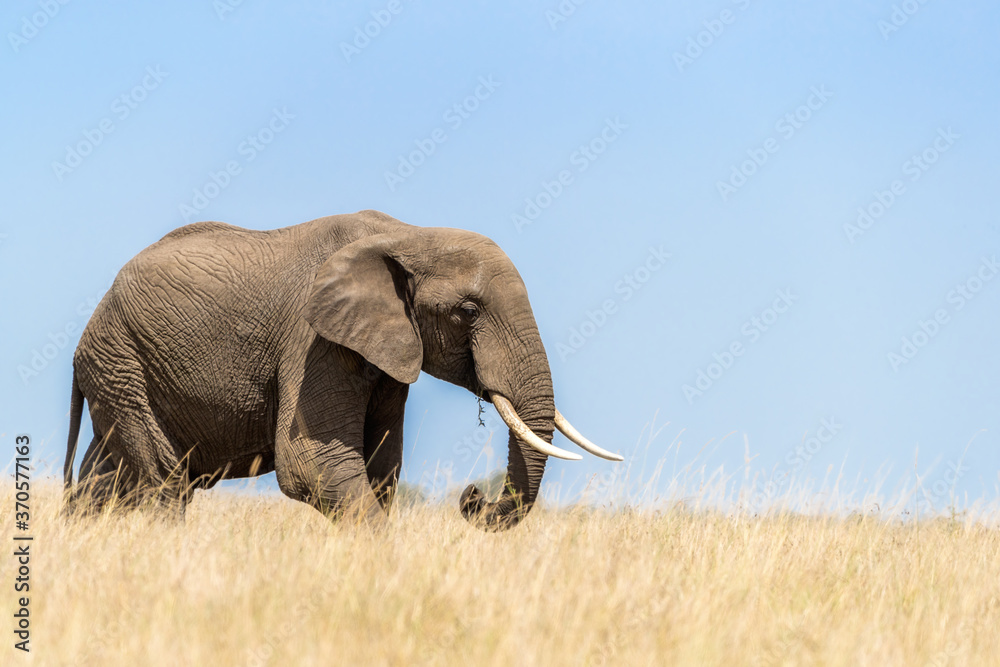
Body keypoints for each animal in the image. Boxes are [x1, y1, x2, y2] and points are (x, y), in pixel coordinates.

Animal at [63, 210, 621, 530]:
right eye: (468, 311)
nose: (471, 495)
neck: (407, 235)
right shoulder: (313, 341)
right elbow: (313, 463)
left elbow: (380, 468)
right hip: (121, 362)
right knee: (162, 480)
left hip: (118, 370)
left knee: (106, 477)